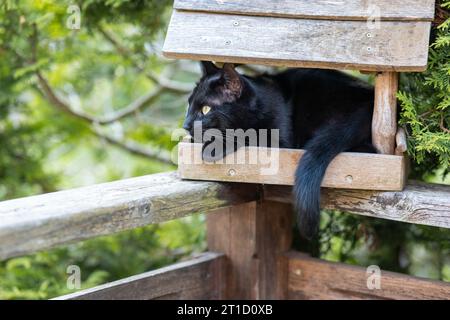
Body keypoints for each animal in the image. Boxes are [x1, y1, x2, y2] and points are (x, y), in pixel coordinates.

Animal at [183, 61, 376, 239]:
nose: (185, 125)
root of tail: (369, 100)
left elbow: (248, 136)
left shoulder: (281, 142)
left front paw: (212, 148)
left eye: (205, 109)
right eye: (189, 105)